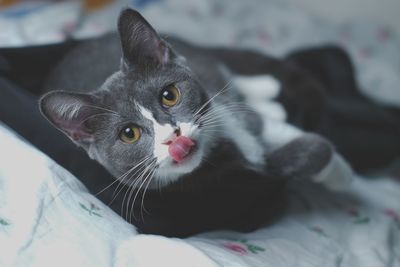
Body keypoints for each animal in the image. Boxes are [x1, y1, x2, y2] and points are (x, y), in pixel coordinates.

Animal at [37, 7, 354, 237]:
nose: (173, 136)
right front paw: (342, 175)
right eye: (129, 134)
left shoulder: (225, 111)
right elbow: (303, 152)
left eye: (169, 95)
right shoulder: (241, 175)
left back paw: (266, 88)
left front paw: (340, 169)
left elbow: (262, 124)